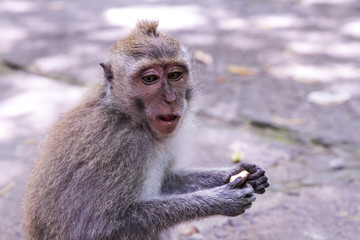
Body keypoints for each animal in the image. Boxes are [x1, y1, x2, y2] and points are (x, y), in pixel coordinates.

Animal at [22, 20, 268, 240]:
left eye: (174, 75)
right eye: (150, 78)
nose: (171, 99)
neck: (128, 117)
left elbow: (167, 179)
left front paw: (239, 172)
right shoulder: (119, 146)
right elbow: (101, 226)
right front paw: (219, 200)